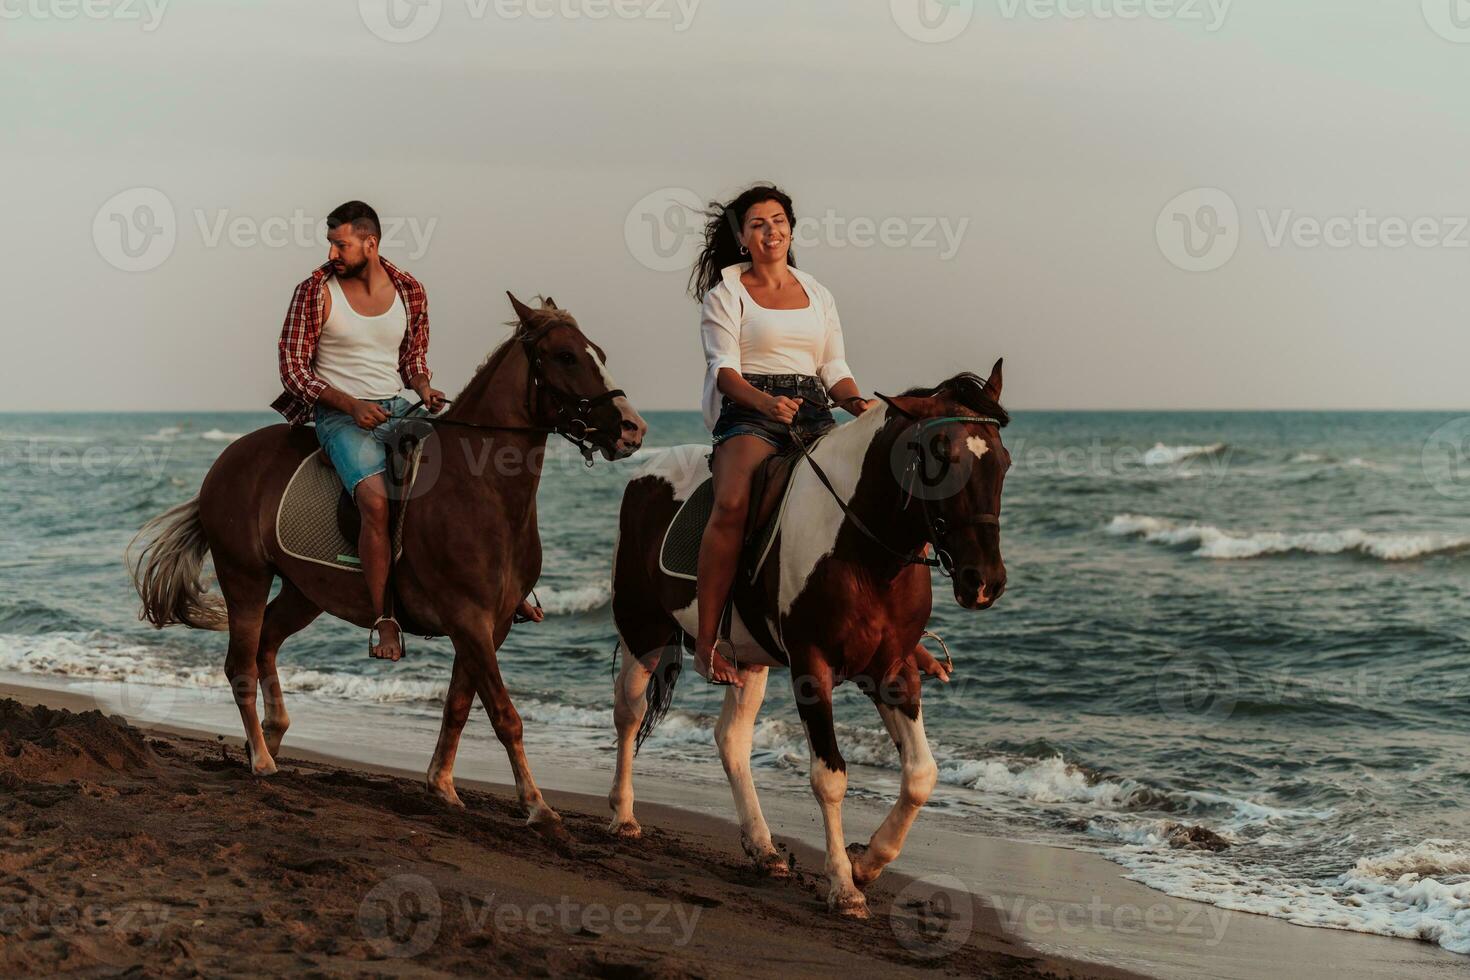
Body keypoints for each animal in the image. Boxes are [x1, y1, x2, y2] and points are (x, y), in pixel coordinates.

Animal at [129, 295, 646, 834]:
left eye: (597, 352)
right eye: (566, 356)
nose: (633, 428)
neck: (481, 491)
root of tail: (225, 462)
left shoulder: (492, 625)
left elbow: (459, 706)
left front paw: (442, 785)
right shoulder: (469, 619)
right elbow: (505, 715)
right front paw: (536, 804)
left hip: (304, 593)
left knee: (267, 643)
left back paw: (271, 737)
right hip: (244, 577)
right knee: (241, 665)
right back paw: (262, 760)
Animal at [608, 362, 1011, 922]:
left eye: (1004, 463)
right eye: (941, 458)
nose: (984, 582)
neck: (863, 550)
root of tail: (646, 472)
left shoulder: (892, 670)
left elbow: (921, 775)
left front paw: (867, 862)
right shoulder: (811, 668)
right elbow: (830, 777)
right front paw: (843, 885)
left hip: (745, 657)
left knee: (731, 740)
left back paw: (763, 848)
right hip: (643, 630)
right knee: (629, 712)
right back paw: (623, 816)